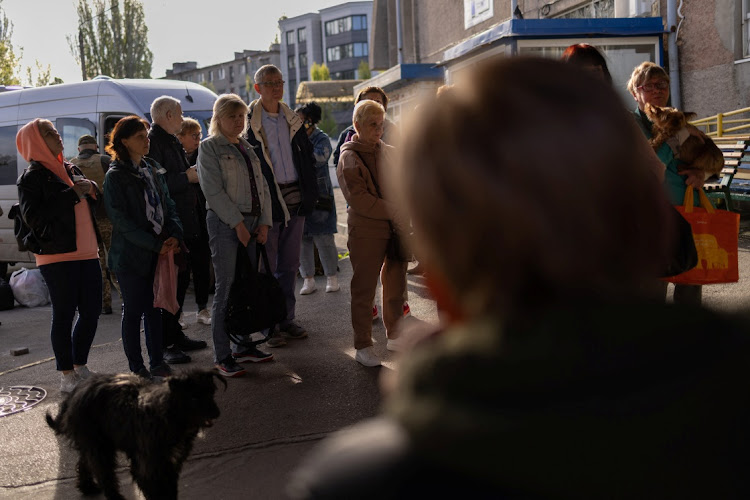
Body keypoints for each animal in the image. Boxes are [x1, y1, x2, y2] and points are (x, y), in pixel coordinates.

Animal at [44, 370, 223, 498]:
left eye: (211, 392)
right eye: (194, 397)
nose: (216, 413)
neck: (168, 413)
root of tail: (74, 394)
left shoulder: (170, 461)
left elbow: (170, 487)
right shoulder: (149, 465)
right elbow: (155, 489)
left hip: (94, 442)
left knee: (85, 462)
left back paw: (87, 487)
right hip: (99, 445)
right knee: (104, 474)